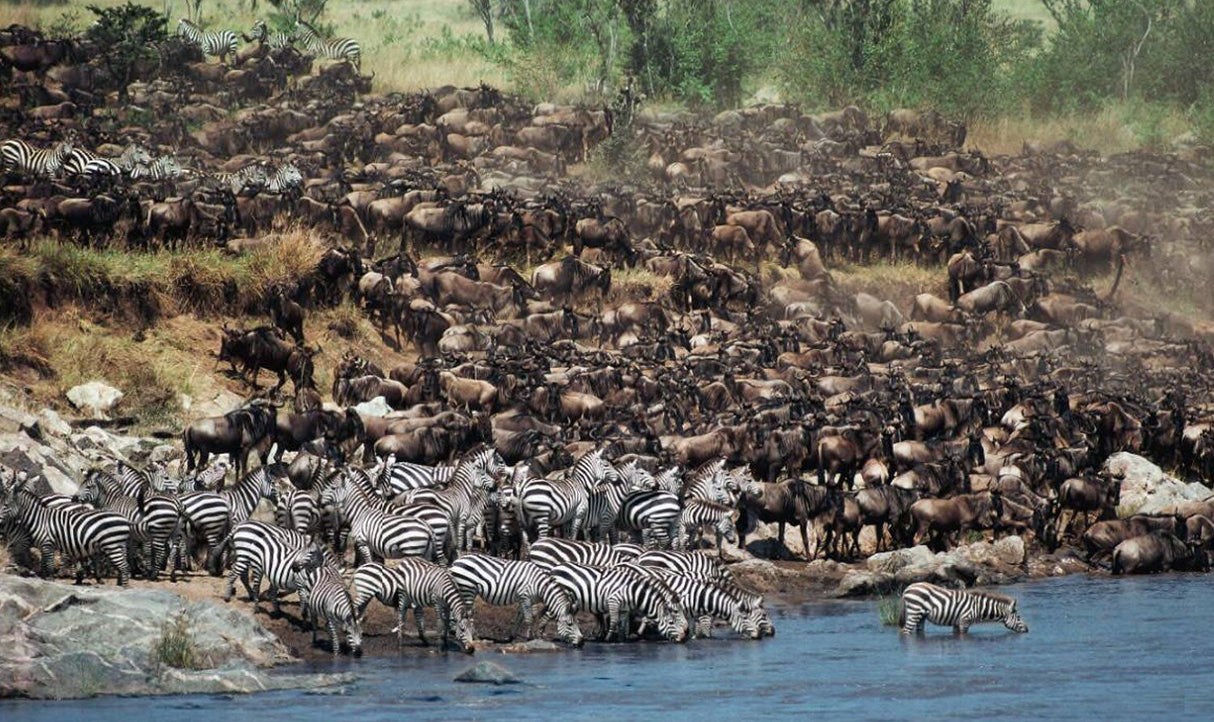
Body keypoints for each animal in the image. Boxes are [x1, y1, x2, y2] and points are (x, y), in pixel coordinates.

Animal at [1, 480, 132, 586]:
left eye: (5, 505)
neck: (39, 519)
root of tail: (125, 519)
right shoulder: (41, 546)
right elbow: (42, 564)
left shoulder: (45, 544)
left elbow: (47, 565)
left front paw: (50, 580)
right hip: (118, 545)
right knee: (123, 565)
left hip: (112, 545)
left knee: (124, 567)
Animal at [449, 553, 583, 645]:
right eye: (570, 624)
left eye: (577, 623)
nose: (582, 642)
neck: (540, 586)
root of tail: (456, 561)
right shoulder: (525, 597)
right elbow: (529, 618)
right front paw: (529, 637)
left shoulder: (523, 599)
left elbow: (520, 616)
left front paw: (512, 636)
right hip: (467, 589)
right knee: (467, 613)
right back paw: (474, 636)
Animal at [550, 562, 688, 643]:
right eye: (672, 621)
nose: (683, 636)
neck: (633, 592)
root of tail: (555, 567)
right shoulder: (613, 601)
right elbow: (615, 621)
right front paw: (608, 638)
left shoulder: (625, 608)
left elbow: (623, 623)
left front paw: (623, 638)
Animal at [899, 582, 1029, 635]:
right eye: (1018, 618)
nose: (1027, 630)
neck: (979, 608)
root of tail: (907, 589)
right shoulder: (964, 621)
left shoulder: (957, 623)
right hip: (914, 612)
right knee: (905, 631)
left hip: (921, 616)